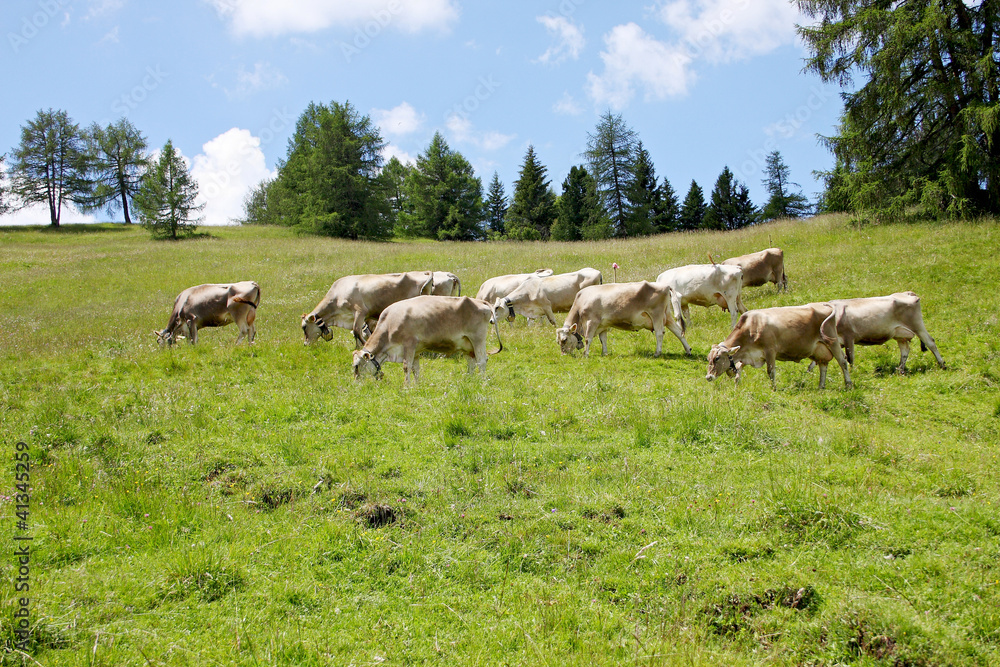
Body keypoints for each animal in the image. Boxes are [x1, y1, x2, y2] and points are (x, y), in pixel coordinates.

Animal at [300, 272, 434, 348]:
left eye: (304, 327)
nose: (305, 344)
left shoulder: (360, 311)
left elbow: (356, 331)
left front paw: (364, 345)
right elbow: (363, 331)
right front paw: (358, 347)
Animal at [356, 298, 504, 386]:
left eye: (356, 366)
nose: (356, 383)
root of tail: (479, 301)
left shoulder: (409, 344)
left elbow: (406, 367)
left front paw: (406, 387)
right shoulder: (416, 350)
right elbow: (415, 368)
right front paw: (416, 385)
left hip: (478, 338)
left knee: (482, 361)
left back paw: (482, 382)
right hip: (467, 344)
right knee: (472, 362)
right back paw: (469, 380)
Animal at [552, 280, 692, 358]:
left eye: (564, 340)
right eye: (558, 341)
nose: (563, 355)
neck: (582, 300)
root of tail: (665, 286)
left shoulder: (592, 321)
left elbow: (588, 339)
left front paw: (586, 354)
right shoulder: (603, 324)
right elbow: (603, 339)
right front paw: (604, 353)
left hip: (656, 315)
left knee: (659, 333)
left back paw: (657, 352)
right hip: (667, 316)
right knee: (679, 332)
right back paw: (688, 350)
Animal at [704, 304, 852, 392]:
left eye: (717, 358)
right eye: (708, 359)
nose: (708, 377)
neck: (751, 327)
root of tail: (824, 304)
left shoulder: (770, 351)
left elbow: (771, 371)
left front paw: (773, 389)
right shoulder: (750, 355)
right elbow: (739, 368)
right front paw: (737, 384)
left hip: (832, 341)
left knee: (843, 362)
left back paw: (848, 384)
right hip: (819, 349)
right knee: (823, 365)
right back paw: (821, 386)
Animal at [812, 294, 944, 376]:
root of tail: (907, 293)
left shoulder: (849, 337)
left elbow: (850, 358)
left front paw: (853, 373)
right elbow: (815, 360)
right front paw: (809, 372)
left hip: (917, 326)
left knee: (931, 342)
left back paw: (942, 364)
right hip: (899, 333)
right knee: (905, 350)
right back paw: (900, 369)